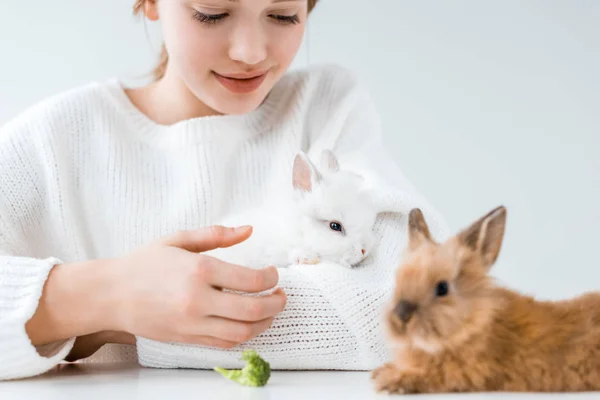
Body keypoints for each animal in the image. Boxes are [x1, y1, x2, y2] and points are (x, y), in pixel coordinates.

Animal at [370, 206, 600, 394]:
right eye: (398, 280)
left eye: (442, 288)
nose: (401, 317)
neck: (474, 324)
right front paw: (382, 372)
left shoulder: (463, 374)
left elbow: (433, 378)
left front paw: (391, 380)